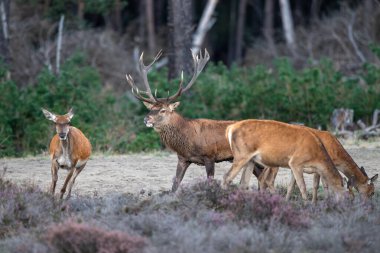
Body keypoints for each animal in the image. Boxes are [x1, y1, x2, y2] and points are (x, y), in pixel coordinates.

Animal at [243, 129, 378, 201]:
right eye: (372, 192)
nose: (367, 204)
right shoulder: (319, 168)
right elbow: (319, 185)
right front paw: (318, 202)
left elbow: (292, 185)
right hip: (273, 164)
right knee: (266, 179)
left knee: (261, 178)